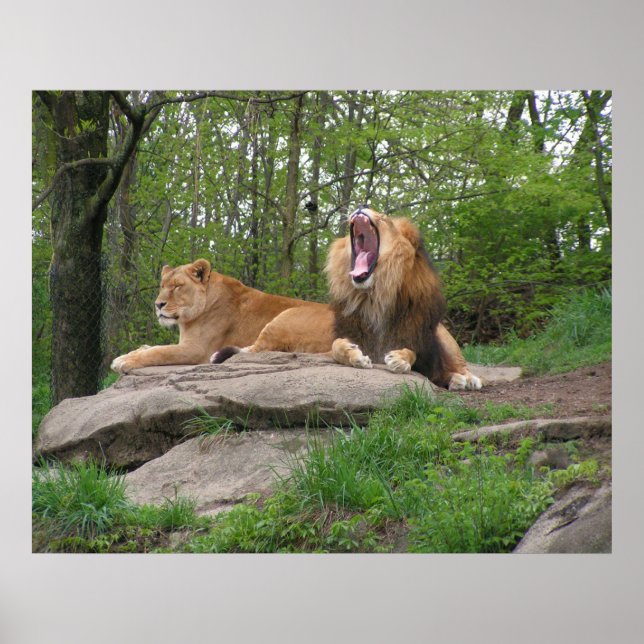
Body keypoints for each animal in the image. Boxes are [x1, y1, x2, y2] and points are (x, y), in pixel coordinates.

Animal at [110, 259, 335, 374]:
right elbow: (151, 347)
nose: (158, 305)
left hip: (286, 316)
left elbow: (159, 352)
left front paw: (124, 361)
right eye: (162, 286)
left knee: (257, 349)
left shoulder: (196, 350)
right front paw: (128, 354)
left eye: (176, 286)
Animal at [326, 206, 482, 390]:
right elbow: (335, 345)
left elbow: (413, 353)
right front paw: (355, 355)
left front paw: (399, 359)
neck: (374, 298)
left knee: (461, 366)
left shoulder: (424, 353)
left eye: (384, 218)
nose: (361, 206)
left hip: (446, 339)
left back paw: (467, 380)